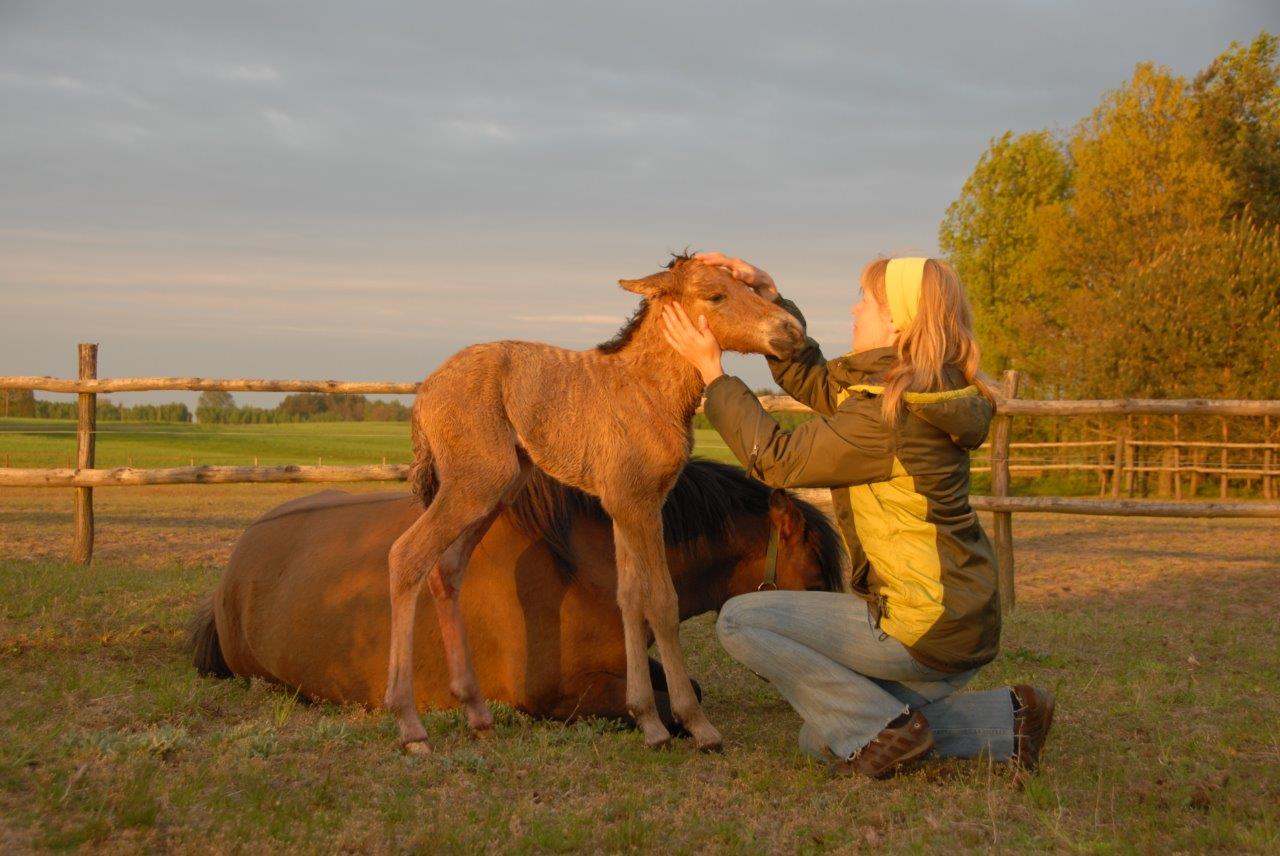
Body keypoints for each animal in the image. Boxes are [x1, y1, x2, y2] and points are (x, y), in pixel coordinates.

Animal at [384, 252, 798, 747]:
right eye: (716, 295)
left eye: (751, 287)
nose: (791, 331)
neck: (648, 391)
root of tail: (424, 391)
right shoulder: (639, 504)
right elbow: (662, 600)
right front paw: (695, 723)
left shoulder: (626, 504)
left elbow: (631, 597)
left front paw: (648, 721)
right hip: (475, 483)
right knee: (407, 555)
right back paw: (410, 725)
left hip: (495, 491)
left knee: (445, 569)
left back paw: (477, 711)